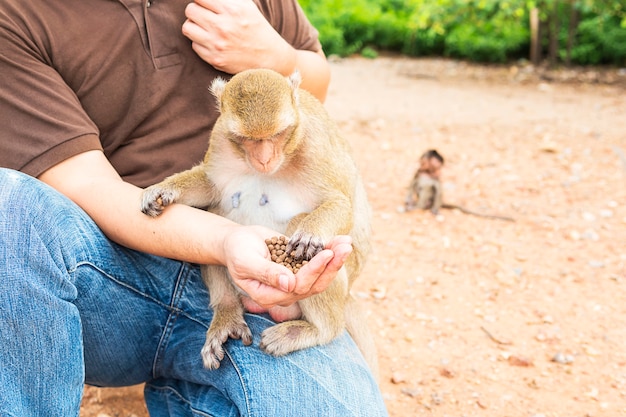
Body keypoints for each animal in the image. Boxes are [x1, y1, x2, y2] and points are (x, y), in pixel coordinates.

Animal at [140, 67, 378, 374]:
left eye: (277, 134)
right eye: (248, 139)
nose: (264, 159)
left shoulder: (314, 145)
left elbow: (342, 204)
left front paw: (311, 233)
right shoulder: (221, 137)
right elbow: (210, 187)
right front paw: (164, 190)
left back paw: (317, 330)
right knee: (215, 213)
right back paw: (227, 310)